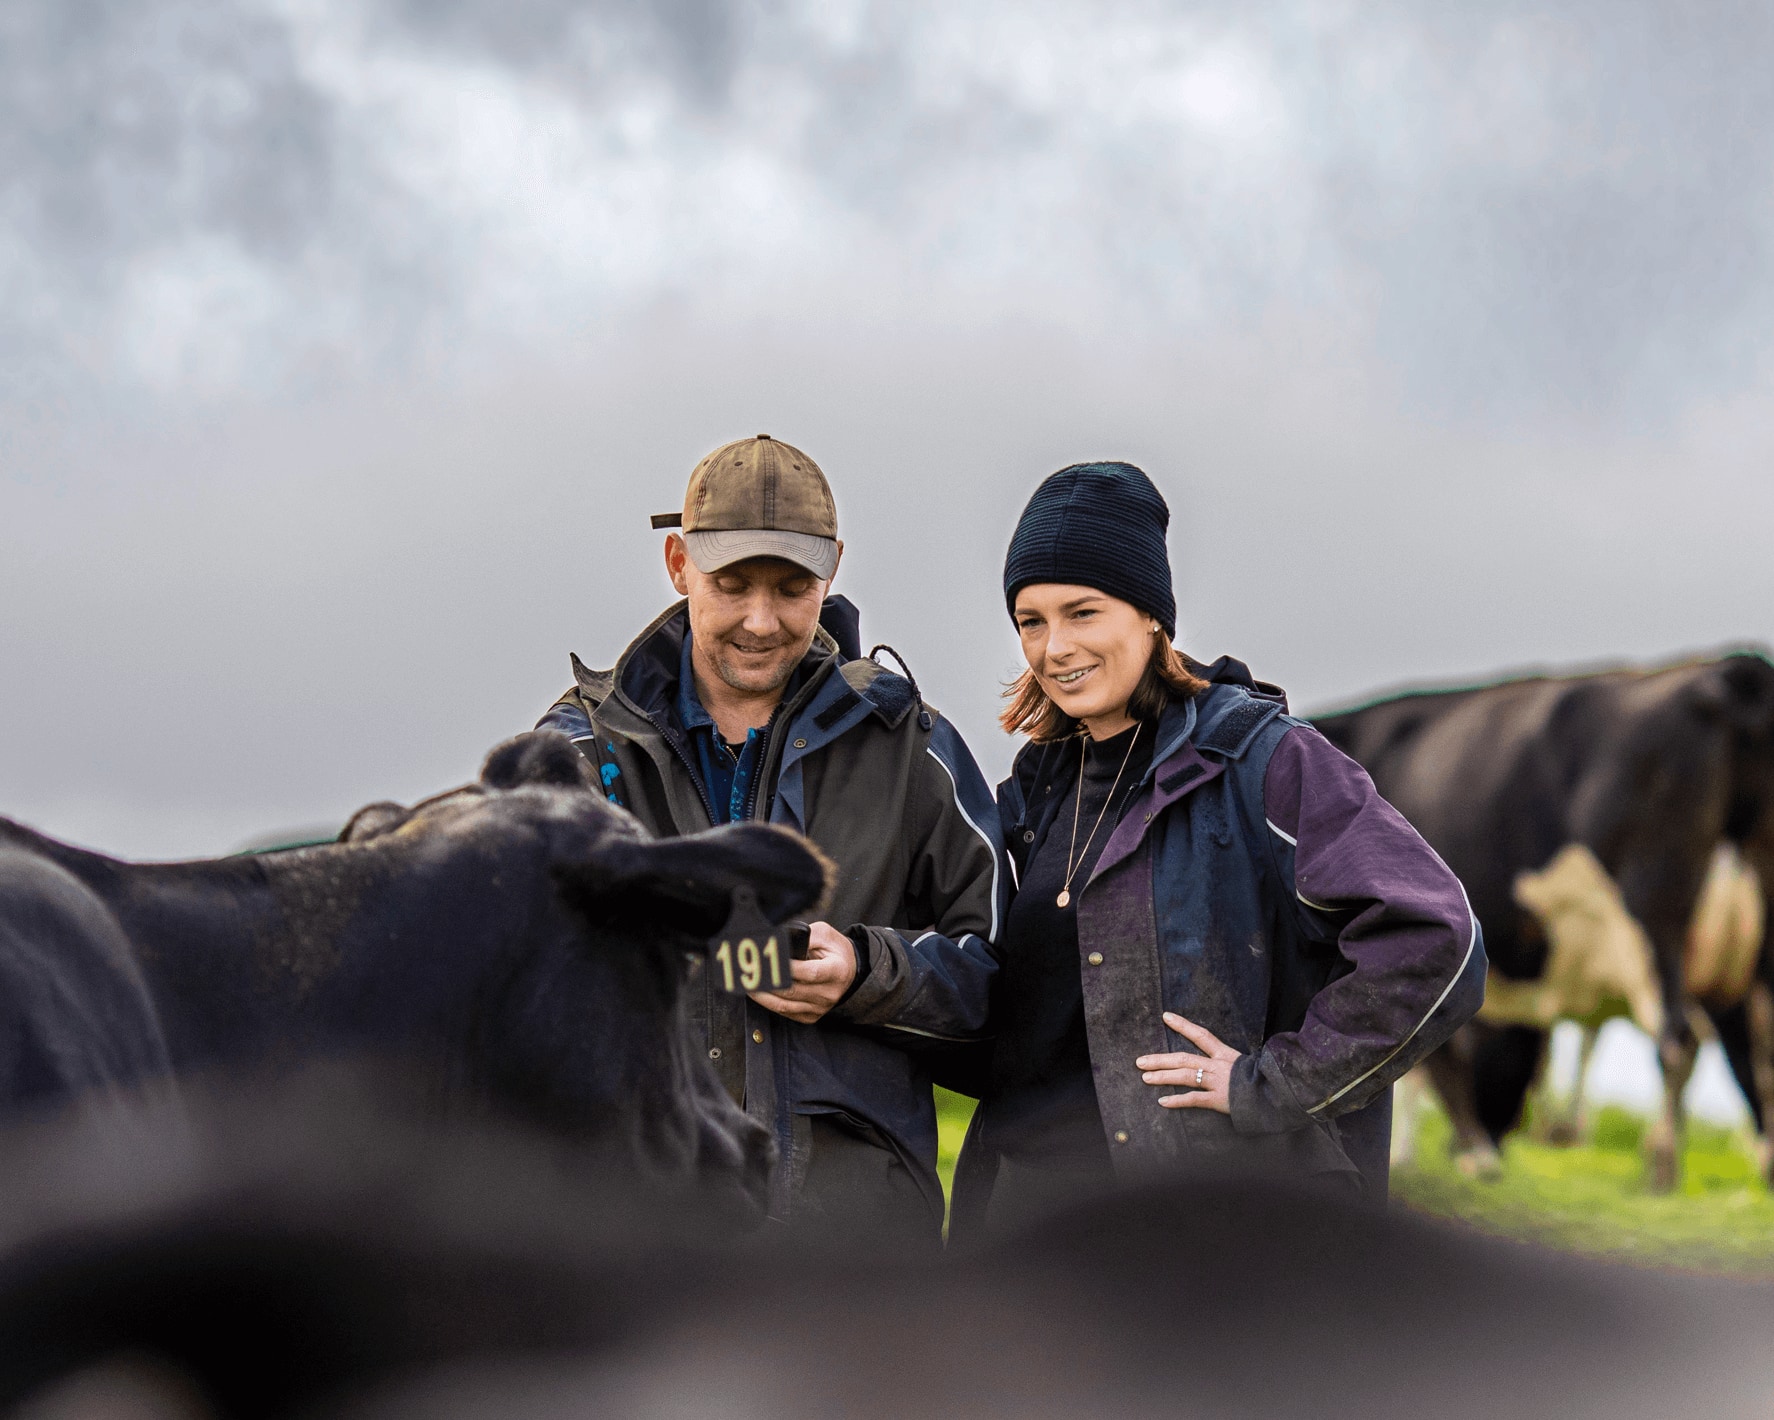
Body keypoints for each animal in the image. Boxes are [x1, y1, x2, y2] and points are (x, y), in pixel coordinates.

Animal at [1312, 653, 1774, 1185]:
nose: (1490, 1139)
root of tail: (1730, 670)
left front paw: (1471, 1153)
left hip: (1652, 905)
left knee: (1679, 1039)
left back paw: (1660, 1162)